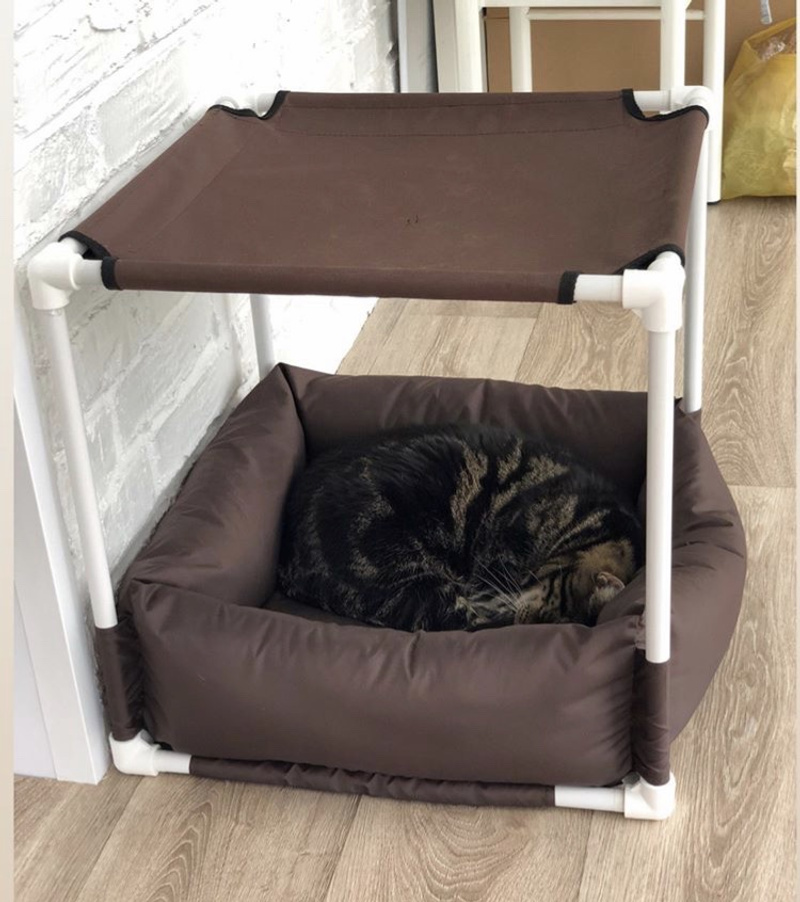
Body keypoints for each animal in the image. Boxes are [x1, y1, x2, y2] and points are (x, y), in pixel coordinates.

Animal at [278, 424, 643, 631]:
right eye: (544, 612)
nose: (521, 626)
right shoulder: (503, 549)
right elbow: (492, 590)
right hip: (410, 581)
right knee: (462, 625)